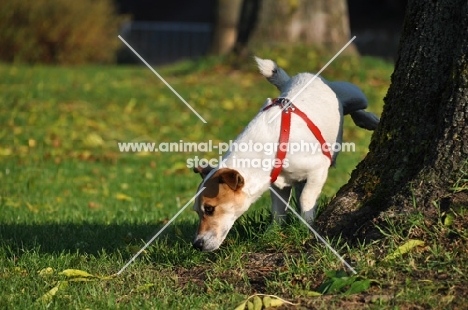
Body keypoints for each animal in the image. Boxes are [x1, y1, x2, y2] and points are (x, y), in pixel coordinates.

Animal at [192, 56, 378, 252]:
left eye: (209, 209)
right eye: (197, 211)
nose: (196, 244)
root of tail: (298, 77)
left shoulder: (318, 169)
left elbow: (306, 199)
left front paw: (308, 225)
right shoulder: (278, 185)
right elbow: (278, 211)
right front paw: (272, 233)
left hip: (354, 95)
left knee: (353, 105)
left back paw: (368, 119)